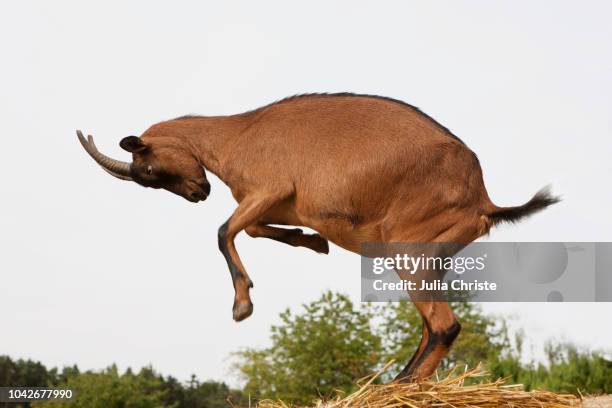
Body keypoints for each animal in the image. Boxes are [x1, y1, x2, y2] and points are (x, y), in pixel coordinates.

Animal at [77, 92, 560, 380]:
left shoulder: (269, 187)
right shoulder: (272, 202)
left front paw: (242, 305)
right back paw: (396, 382)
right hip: (429, 256)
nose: (199, 193)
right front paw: (315, 241)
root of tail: (483, 200)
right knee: (431, 324)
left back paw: (402, 384)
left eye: (149, 170)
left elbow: (223, 231)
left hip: (409, 249)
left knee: (444, 325)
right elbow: (252, 229)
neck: (237, 135)